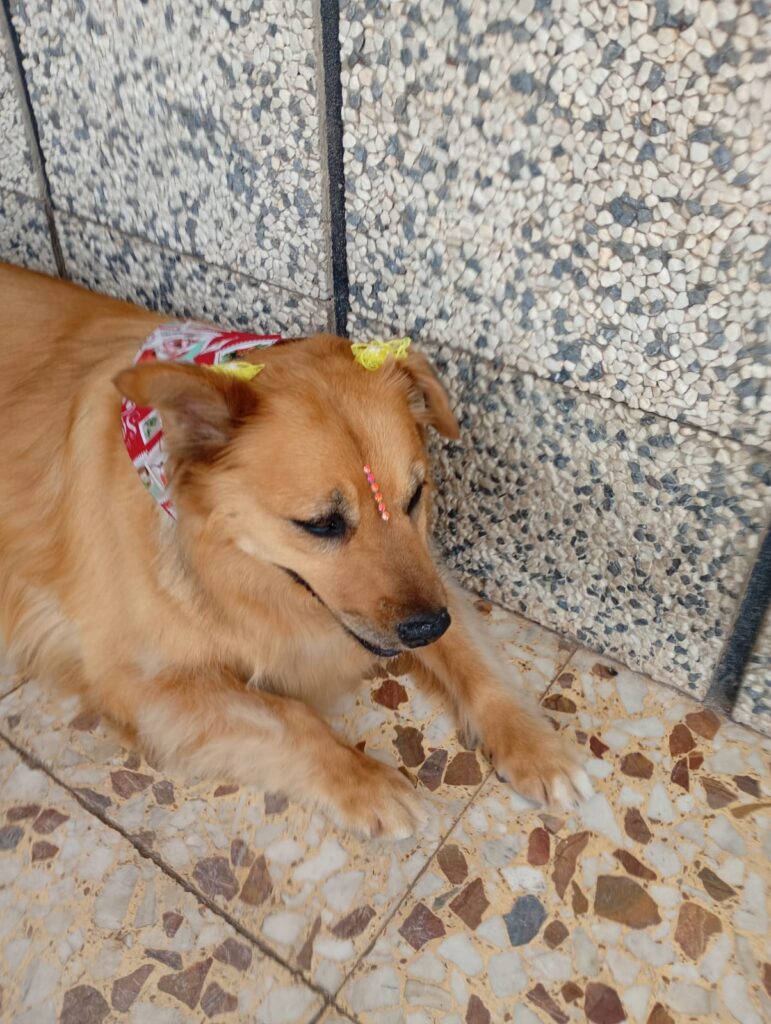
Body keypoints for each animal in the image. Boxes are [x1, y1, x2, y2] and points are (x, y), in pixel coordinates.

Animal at [0, 263, 590, 837]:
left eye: (415, 497)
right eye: (322, 525)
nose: (427, 628)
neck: (224, 560)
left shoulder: (432, 579)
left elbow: (475, 663)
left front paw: (532, 744)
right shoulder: (140, 685)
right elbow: (291, 718)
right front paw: (369, 782)